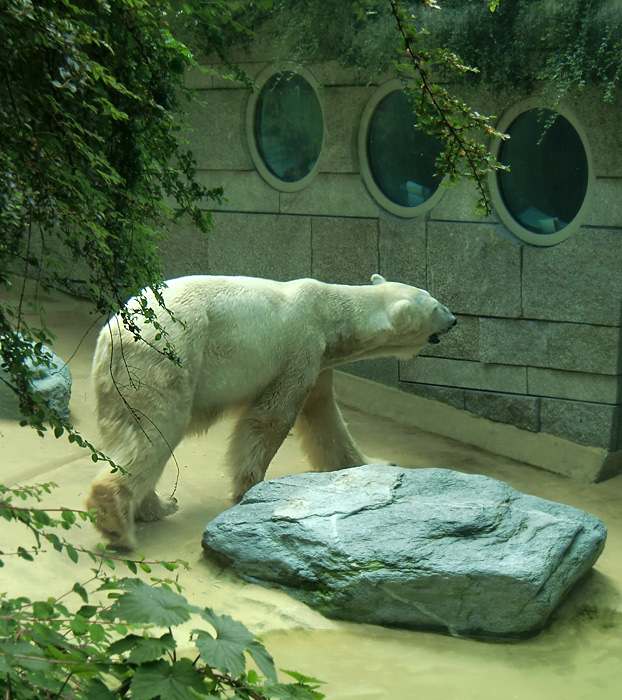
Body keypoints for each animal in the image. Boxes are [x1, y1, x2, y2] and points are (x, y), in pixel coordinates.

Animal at [85, 274, 456, 548]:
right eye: (436, 304)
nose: (454, 319)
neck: (329, 312)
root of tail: (112, 332)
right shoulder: (298, 348)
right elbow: (271, 418)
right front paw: (251, 490)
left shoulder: (320, 362)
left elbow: (324, 416)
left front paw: (373, 463)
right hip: (169, 357)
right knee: (155, 430)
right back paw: (116, 519)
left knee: (132, 434)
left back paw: (156, 506)